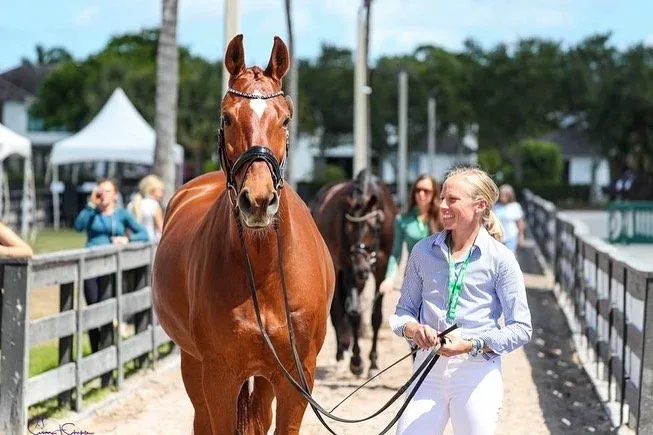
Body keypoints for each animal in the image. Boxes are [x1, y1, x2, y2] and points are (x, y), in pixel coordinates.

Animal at [152, 35, 335, 435]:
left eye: (285, 118)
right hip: (193, 365)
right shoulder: (219, 376)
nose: (259, 201)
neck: (264, 273)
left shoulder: (297, 380)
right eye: (227, 117)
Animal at [311, 169, 396, 377]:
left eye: (375, 228)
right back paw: (342, 355)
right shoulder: (348, 267)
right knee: (337, 311)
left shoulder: (381, 267)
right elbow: (354, 313)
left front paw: (373, 363)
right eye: (348, 229)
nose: (361, 269)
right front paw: (357, 361)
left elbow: (376, 316)